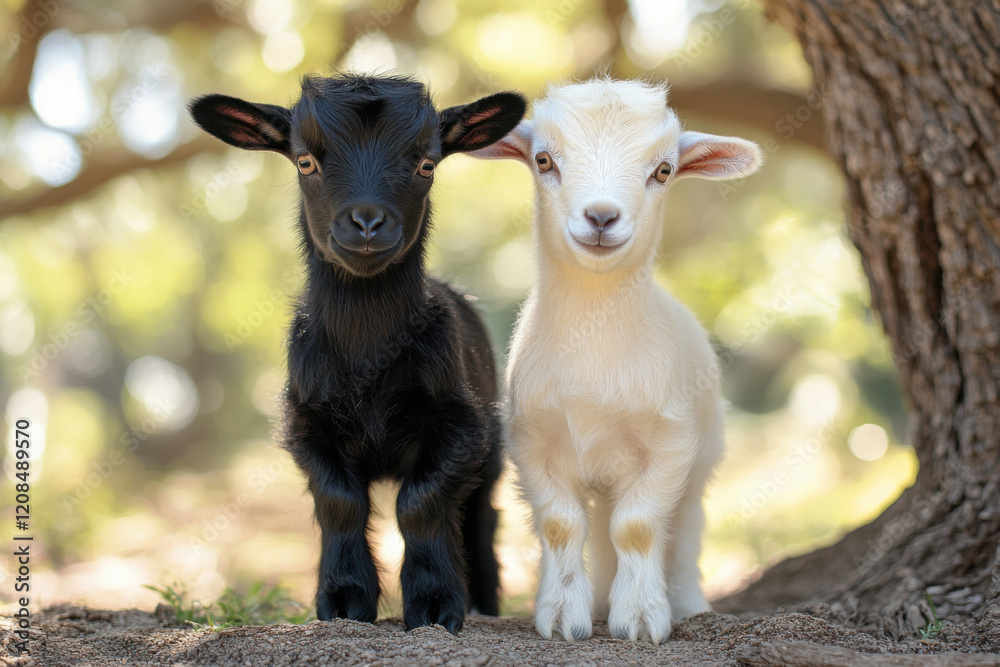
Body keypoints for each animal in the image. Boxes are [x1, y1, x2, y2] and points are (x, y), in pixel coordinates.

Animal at [189, 74, 525, 633]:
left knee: (481, 518)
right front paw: (344, 603)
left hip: (493, 447)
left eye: (426, 164)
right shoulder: (307, 423)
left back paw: (484, 606)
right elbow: (340, 501)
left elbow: (421, 502)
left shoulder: (461, 428)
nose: (367, 222)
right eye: (305, 162)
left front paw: (435, 607)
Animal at [471, 78, 762, 644]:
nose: (602, 217)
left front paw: (644, 618)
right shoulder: (531, 441)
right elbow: (562, 524)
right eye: (543, 159)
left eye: (663, 170)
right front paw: (564, 617)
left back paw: (687, 603)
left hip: (705, 456)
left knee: (683, 528)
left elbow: (639, 527)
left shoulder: (670, 444)